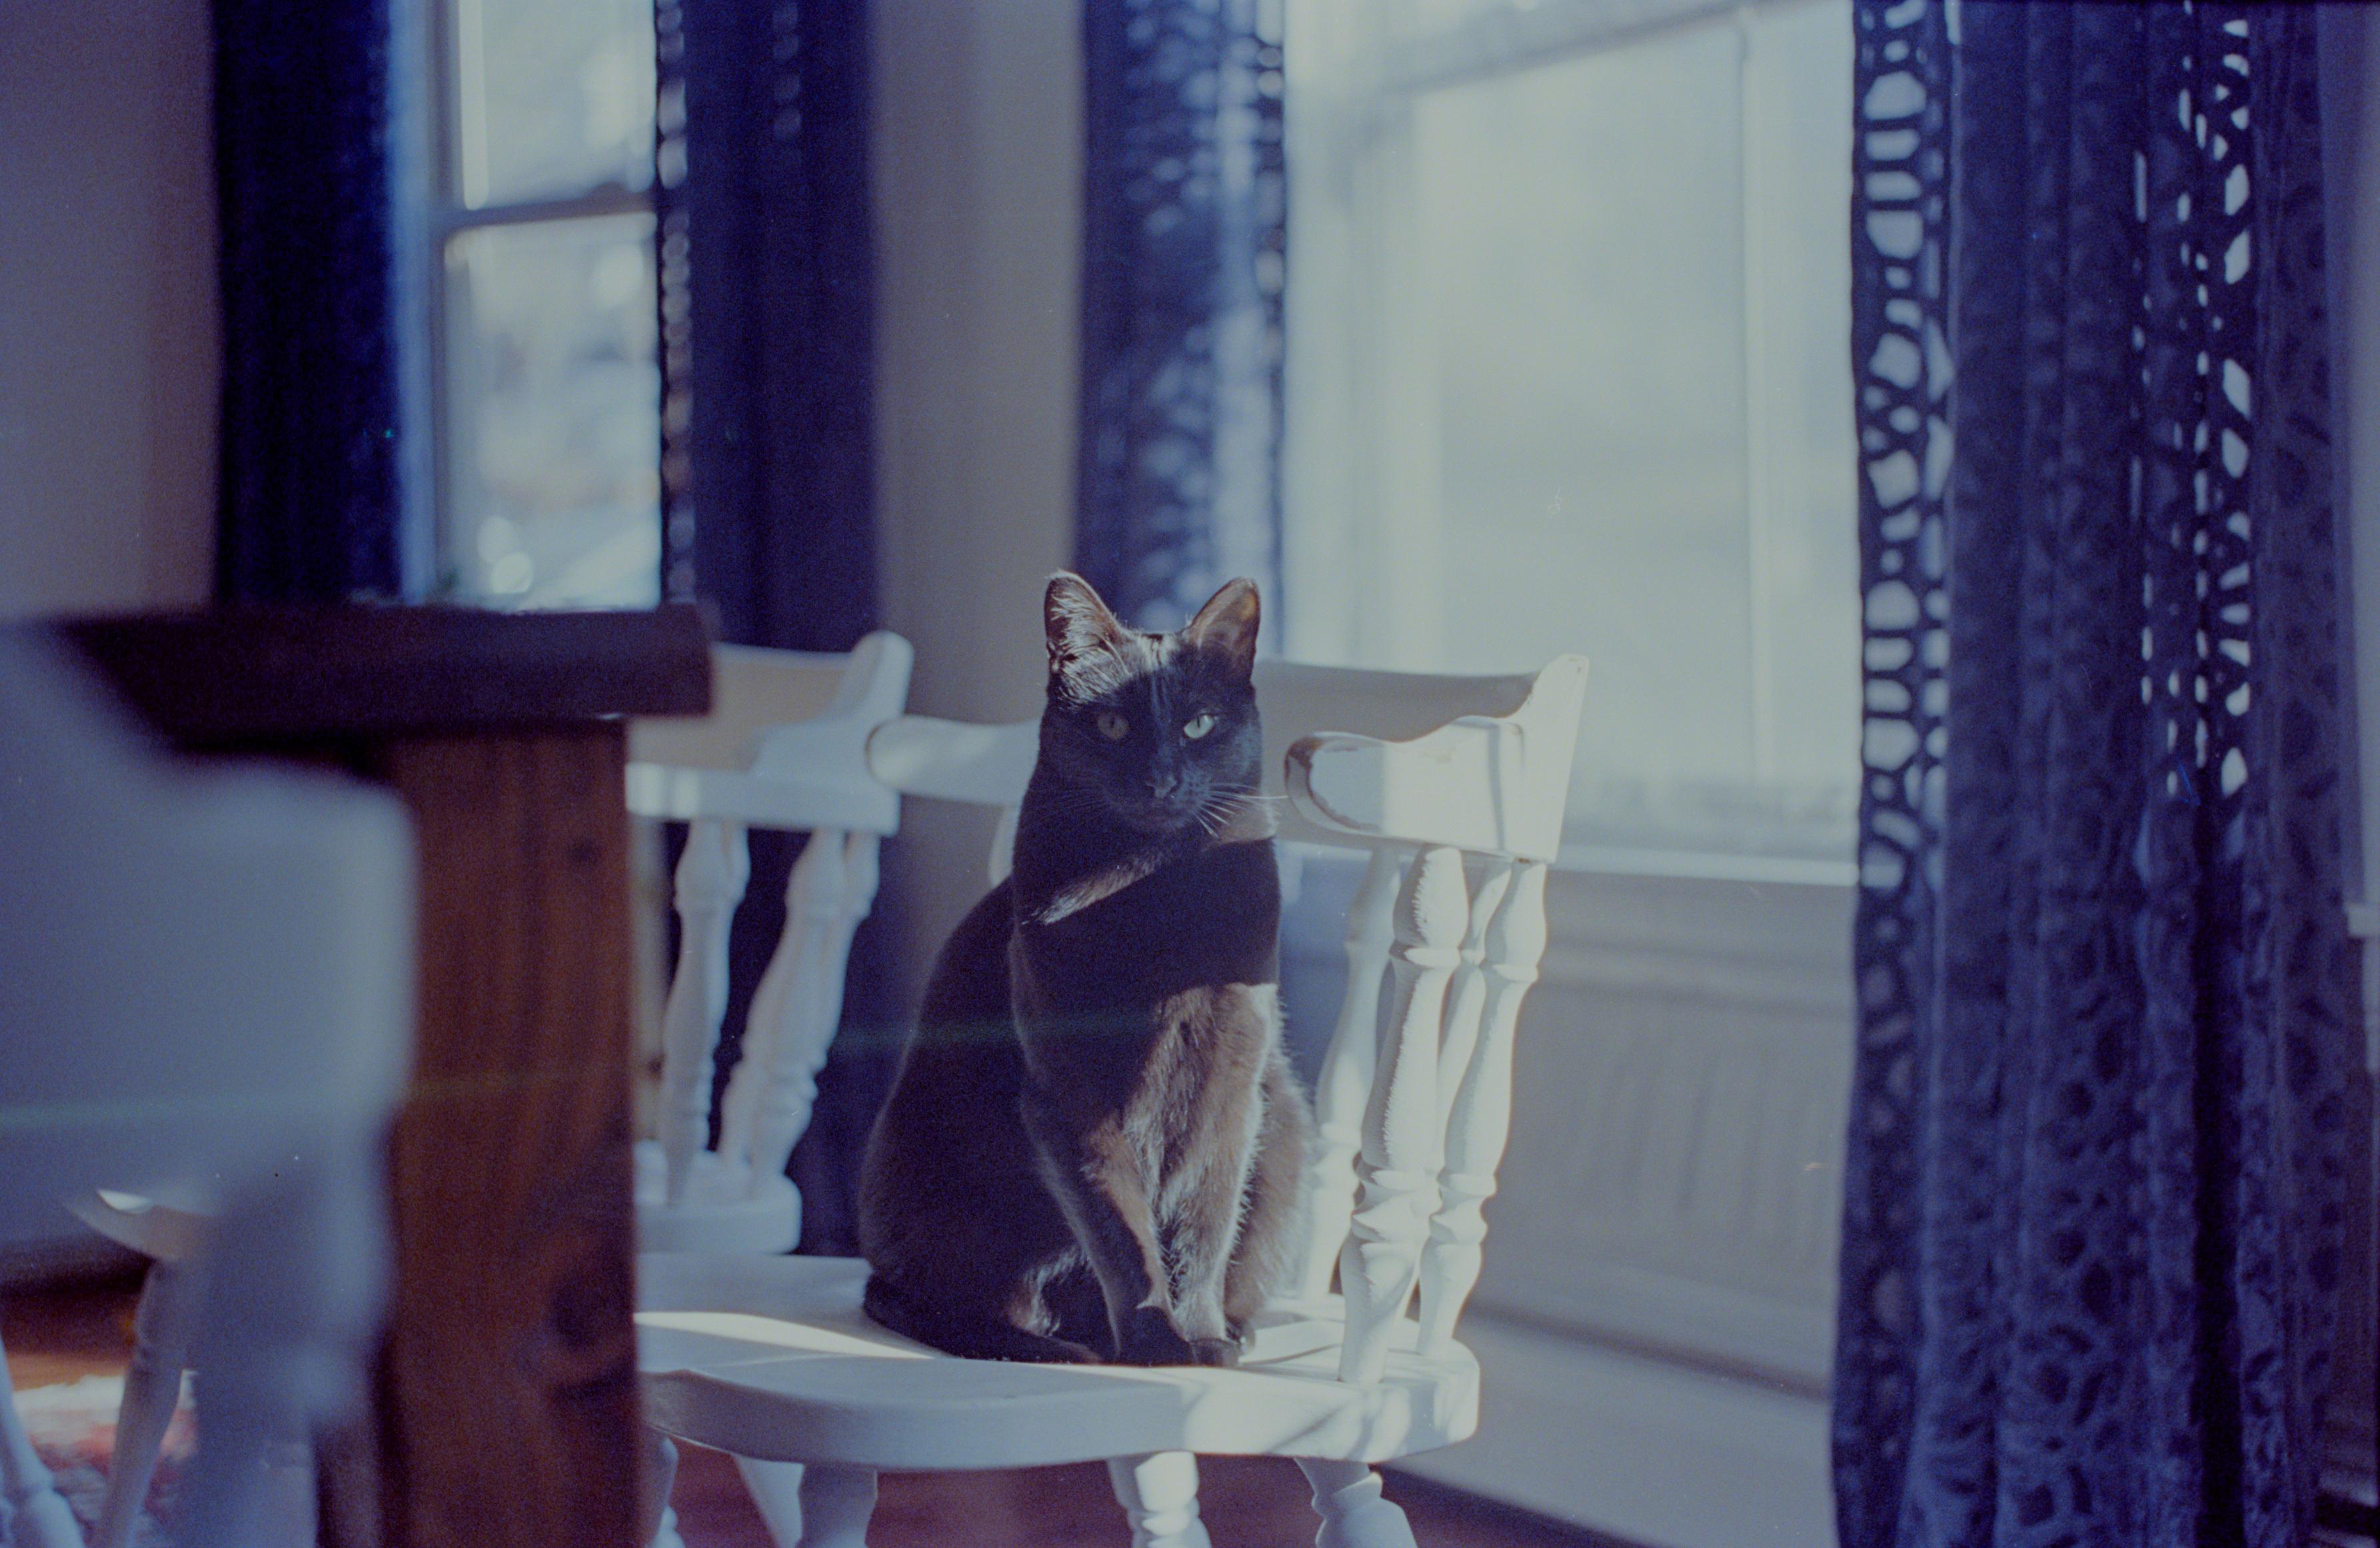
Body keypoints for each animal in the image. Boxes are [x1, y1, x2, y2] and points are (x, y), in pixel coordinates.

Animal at [861, 572, 1314, 1369]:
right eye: (1111, 726)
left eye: (1197, 725)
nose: (1161, 778)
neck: (1151, 887)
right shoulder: (1069, 1094)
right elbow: (1122, 1232)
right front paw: (1159, 1345)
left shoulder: (1230, 1088)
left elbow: (1201, 1224)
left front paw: (1199, 1337)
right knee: (931, 1297)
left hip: (1284, 1123)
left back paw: (1225, 1331)